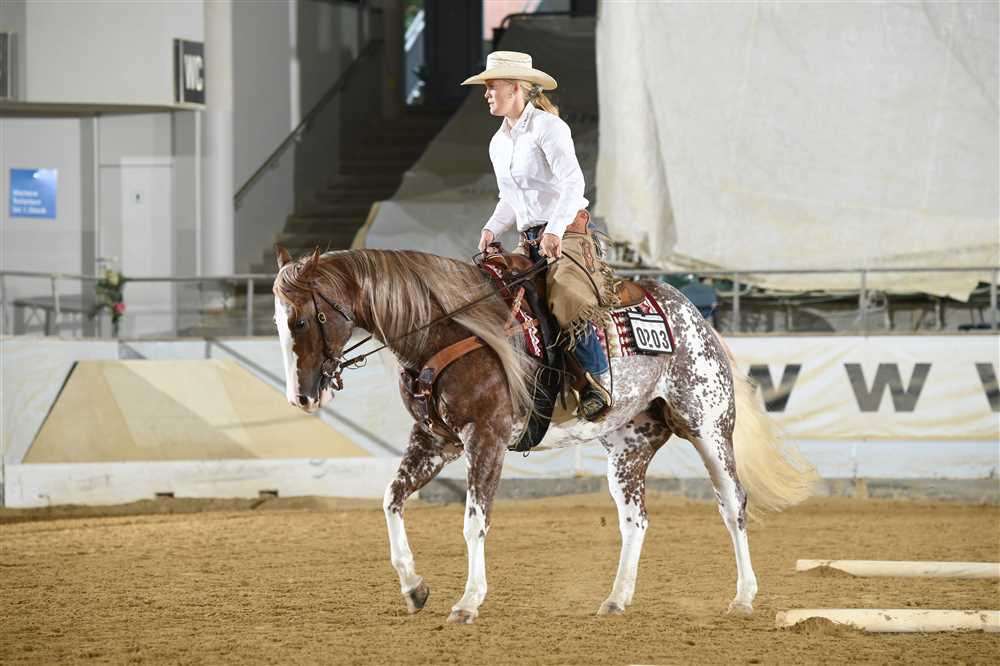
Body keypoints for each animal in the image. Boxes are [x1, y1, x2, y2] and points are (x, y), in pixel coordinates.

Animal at [271, 245, 817, 624]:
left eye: (301, 320)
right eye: (279, 323)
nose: (301, 397)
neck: (448, 330)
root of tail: (695, 318)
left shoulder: (485, 438)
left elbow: (474, 520)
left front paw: (468, 602)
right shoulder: (435, 442)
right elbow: (391, 499)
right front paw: (414, 588)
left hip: (708, 427)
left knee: (732, 505)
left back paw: (743, 598)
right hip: (629, 447)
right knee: (635, 520)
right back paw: (616, 599)